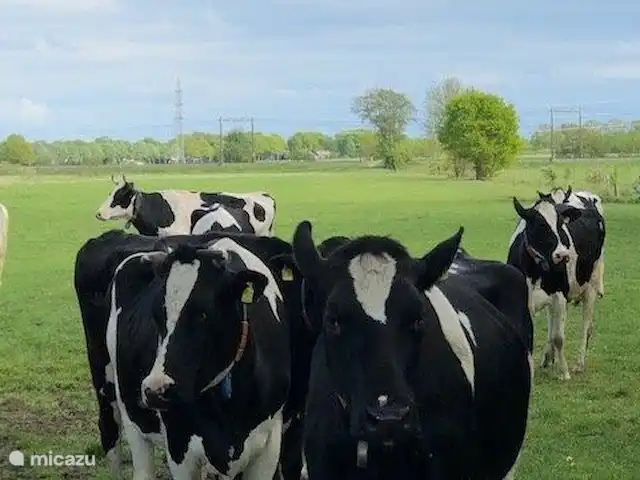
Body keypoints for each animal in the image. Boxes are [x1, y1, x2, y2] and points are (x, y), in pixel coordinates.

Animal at [73, 229, 308, 479]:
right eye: (156, 314)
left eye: (204, 314)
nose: (156, 390)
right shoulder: (179, 445)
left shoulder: (271, 443)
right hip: (114, 392)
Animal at [507, 188, 606, 380]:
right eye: (540, 225)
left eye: (561, 225)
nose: (563, 255)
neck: (536, 271)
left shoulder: (560, 293)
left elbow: (559, 337)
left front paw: (564, 372)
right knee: (553, 322)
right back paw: (548, 357)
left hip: (591, 284)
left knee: (586, 325)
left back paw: (578, 364)